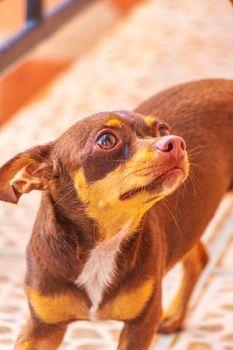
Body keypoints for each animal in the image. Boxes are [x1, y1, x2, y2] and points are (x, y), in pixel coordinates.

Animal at [0, 79, 233, 350]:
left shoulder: (141, 325)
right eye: (106, 140)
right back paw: (175, 316)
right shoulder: (41, 328)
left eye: (163, 130)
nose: (175, 141)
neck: (105, 242)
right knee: (198, 258)